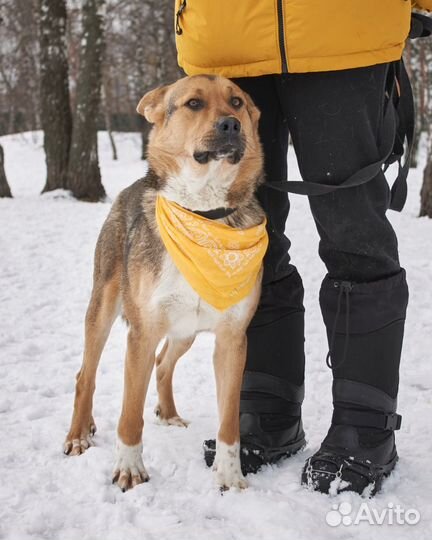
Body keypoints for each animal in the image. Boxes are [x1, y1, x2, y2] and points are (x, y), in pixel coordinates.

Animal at [64, 74, 266, 492]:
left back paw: (169, 413)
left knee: (162, 364)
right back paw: (78, 433)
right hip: (103, 310)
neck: (203, 214)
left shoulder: (232, 340)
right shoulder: (141, 333)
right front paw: (129, 468)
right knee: (84, 376)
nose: (231, 125)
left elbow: (229, 421)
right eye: (194, 104)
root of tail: (132, 187)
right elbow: (129, 415)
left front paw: (228, 474)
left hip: (184, 330)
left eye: (237, 102)